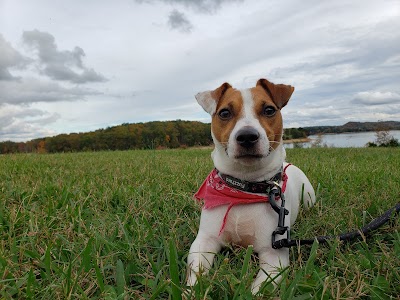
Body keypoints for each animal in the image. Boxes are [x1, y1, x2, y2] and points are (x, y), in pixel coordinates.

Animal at [187, 78, 316, 294]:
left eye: (269, 110)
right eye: (224, 113)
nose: (247, 136)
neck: (244, 186)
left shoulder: (274, 255)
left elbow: (260, 288)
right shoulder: (204, 241)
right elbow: (195, 274)